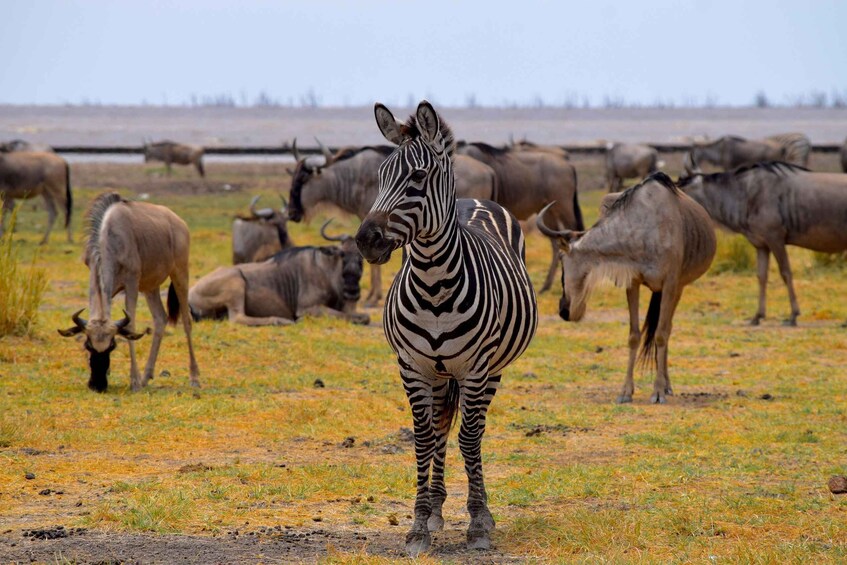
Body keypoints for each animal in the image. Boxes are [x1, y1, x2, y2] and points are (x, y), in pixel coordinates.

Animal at [355, 101, 538, 556]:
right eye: (380, 176)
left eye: (418, 177)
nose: (366, 240)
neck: (434, 282)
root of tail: (471, 199)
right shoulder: (412, 366)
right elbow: (424, 438)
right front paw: (419, 524)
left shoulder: (475, 368)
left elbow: (469, 439)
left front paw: (477, 523)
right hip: (440, 374)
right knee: (440, 427)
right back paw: (437, 507)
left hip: (492, 369)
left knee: (474, 431)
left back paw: (481, 512)